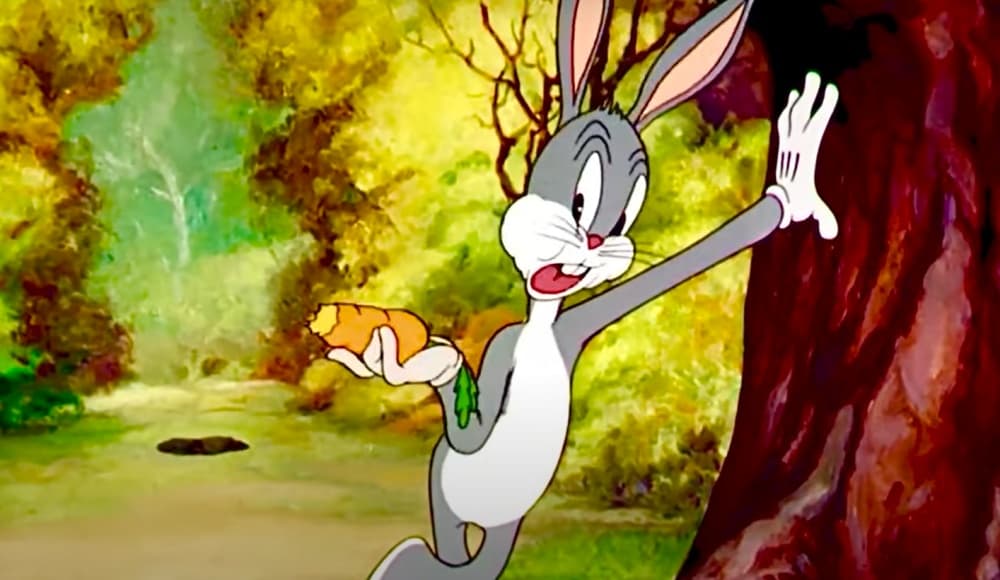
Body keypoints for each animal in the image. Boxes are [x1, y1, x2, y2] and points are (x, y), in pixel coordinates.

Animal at [326, 0, 841, 578]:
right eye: (579, 197)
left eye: (624, 216)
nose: (594, 239)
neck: (544, 324)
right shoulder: (503, 347)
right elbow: (470, 428)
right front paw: (415, 361)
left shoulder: (580, 322)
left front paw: (793, 182)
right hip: (447, 492)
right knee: (427, 550)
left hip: (491, 527)